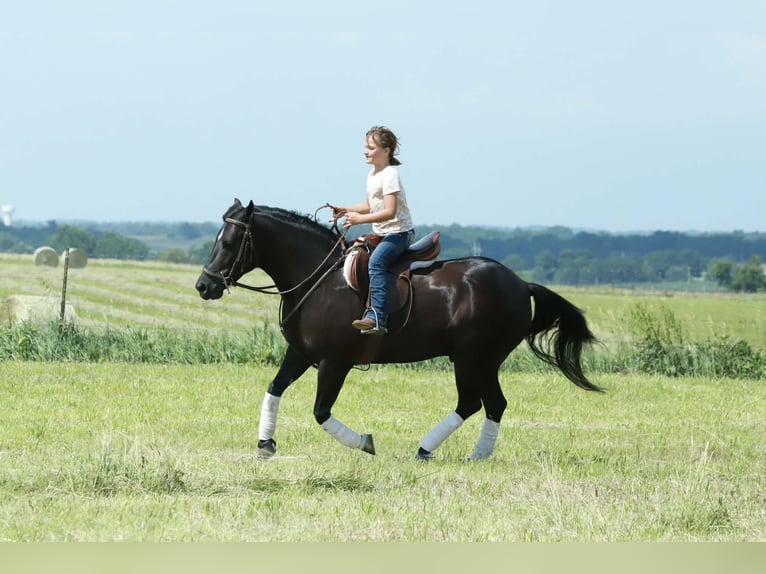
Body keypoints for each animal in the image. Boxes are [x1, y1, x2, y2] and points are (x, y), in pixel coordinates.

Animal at [195, 199, 603, 461]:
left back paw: (432, 449)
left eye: (229, 242)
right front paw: (265, 444)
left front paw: (365, 442)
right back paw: (473, 454)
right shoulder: (300, 354)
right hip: (480, 361)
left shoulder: (334, 362)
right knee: (491, 404)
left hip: (473, 359)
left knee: (475, 403)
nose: (204, 285)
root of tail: (520, 284)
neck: (318, 279)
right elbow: (274, 389)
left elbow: (321, 411)